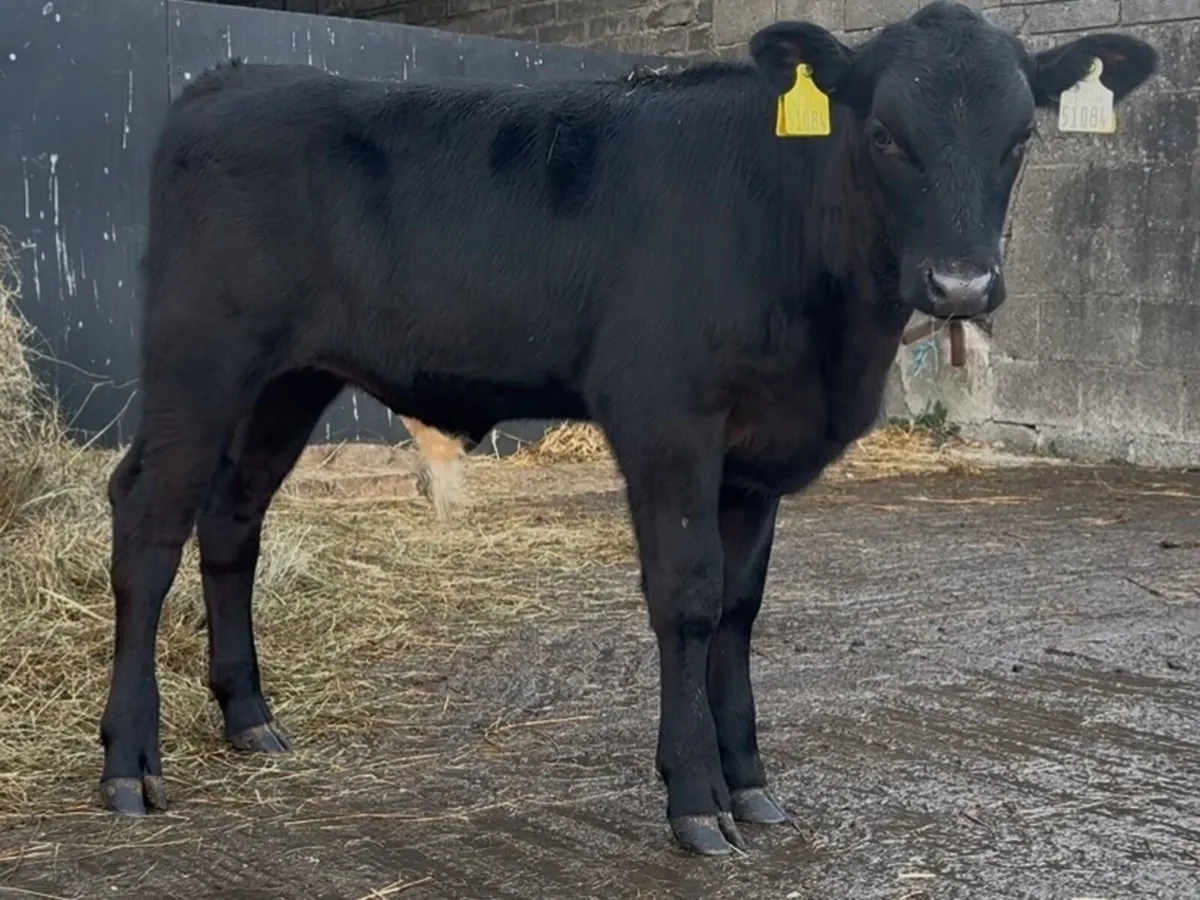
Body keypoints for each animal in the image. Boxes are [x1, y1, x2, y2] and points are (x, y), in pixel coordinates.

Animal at [96, 1, 1156, 857]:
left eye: (1020, 137)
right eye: (886, 134)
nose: (962, 285)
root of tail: (236, 78)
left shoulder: (755, 459)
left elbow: (739, 608)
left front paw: (751, 784)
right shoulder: (667, 416)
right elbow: (687, 598)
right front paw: (696, 800)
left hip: (289, 379)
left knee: (232, 518)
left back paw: (249, 718)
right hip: (199, 358)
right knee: (148, 522)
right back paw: (129, 763)